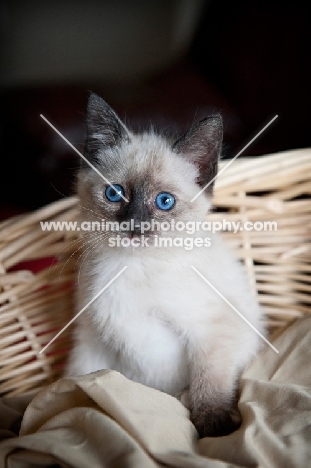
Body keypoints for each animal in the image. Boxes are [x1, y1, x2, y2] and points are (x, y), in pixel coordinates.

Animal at [66, 93, 266, 436]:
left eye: (164, 201)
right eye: (114, 193)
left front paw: (213, 424)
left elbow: (209, 380)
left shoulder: (212, 329)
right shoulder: (90, 341)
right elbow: (77, 381)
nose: (134, 227)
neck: (131, 266)